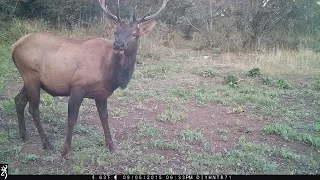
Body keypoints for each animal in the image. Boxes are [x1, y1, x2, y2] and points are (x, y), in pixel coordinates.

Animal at [11, 0, 169, 159]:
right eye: (115, 32)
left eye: (135, 34)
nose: (118, 45)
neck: (108, 71)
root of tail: (15, 46)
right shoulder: (77, 87)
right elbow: (72, 119)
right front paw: (66, 151)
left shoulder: (101, 93)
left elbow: (104, 117)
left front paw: (111, 146)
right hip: (30, 76)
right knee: (33, 109)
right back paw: (47, 144)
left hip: (32, 80)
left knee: (19, 100)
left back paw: (23, 135)